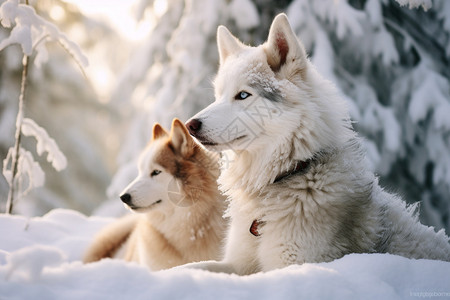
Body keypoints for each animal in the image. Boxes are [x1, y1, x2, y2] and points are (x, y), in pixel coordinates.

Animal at [183, 14, 450, 276]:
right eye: (218, 96)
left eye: (243, 95)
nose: (190, 125)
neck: (288, 174)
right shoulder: (237, 264)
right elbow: (190, 267)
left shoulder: (293, 264)